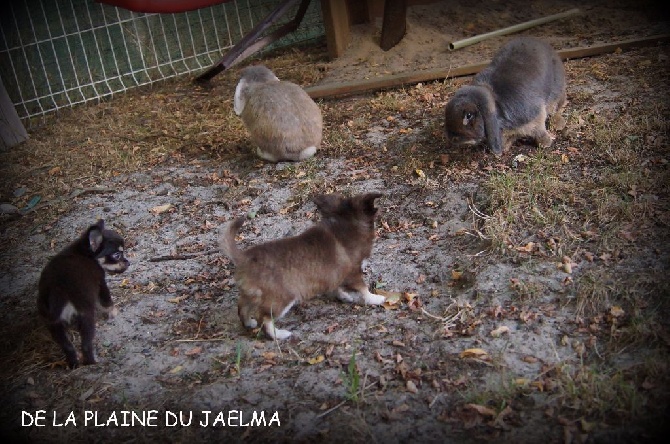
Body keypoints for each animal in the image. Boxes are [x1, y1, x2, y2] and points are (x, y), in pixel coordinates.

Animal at [38, 219, 130, 368]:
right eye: (117, 255)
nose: (128, 263)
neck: (84, 252)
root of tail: (58, 290)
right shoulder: (100, 282)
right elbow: (107, 301)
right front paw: (113, 311)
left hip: (53, 323)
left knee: (68, 347)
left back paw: (73, 364)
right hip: (86, 315)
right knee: (86, 345)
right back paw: (92, 362)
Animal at [220, 192, 386, 340]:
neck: (344, 222)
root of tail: (244, 257)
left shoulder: (333, 275)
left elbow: (336, 288)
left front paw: (344, 296)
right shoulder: (354, 273)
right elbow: (364, 289)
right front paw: (375, 299)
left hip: (251, 294)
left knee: (242, 307)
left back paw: (249, 323)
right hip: (283, 298)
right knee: (264, 318)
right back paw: (279, 335)